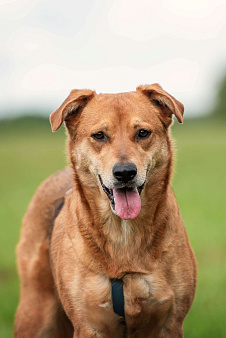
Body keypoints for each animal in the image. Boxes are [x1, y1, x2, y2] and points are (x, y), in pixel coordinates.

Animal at [15, 83, 197, 336]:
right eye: (99, 135)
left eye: (143, 133)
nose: (124, 173)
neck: (124, 234)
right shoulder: (88, 326)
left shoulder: (169, 324)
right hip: (35, 313)